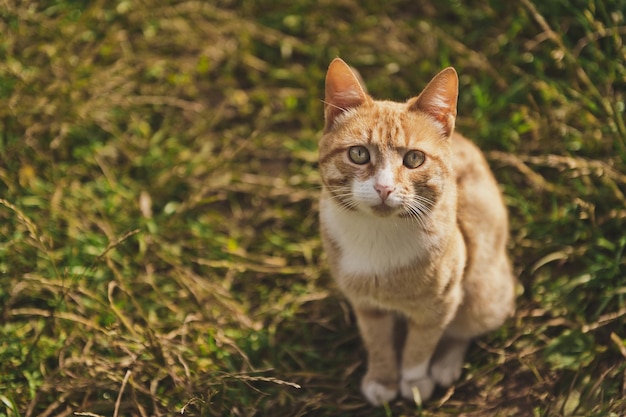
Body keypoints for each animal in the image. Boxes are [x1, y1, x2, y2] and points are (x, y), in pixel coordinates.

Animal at [320, 57, 516, 404]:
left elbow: (421, 344)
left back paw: (445, 365)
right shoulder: (366, 305)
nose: (384, 188)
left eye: (414, 158)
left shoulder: (440, 303)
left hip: (484, 295)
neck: (378, 236)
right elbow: (377, 341)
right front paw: (383, 379)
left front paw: (412, 382)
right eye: (358, 153)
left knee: (464, 328)